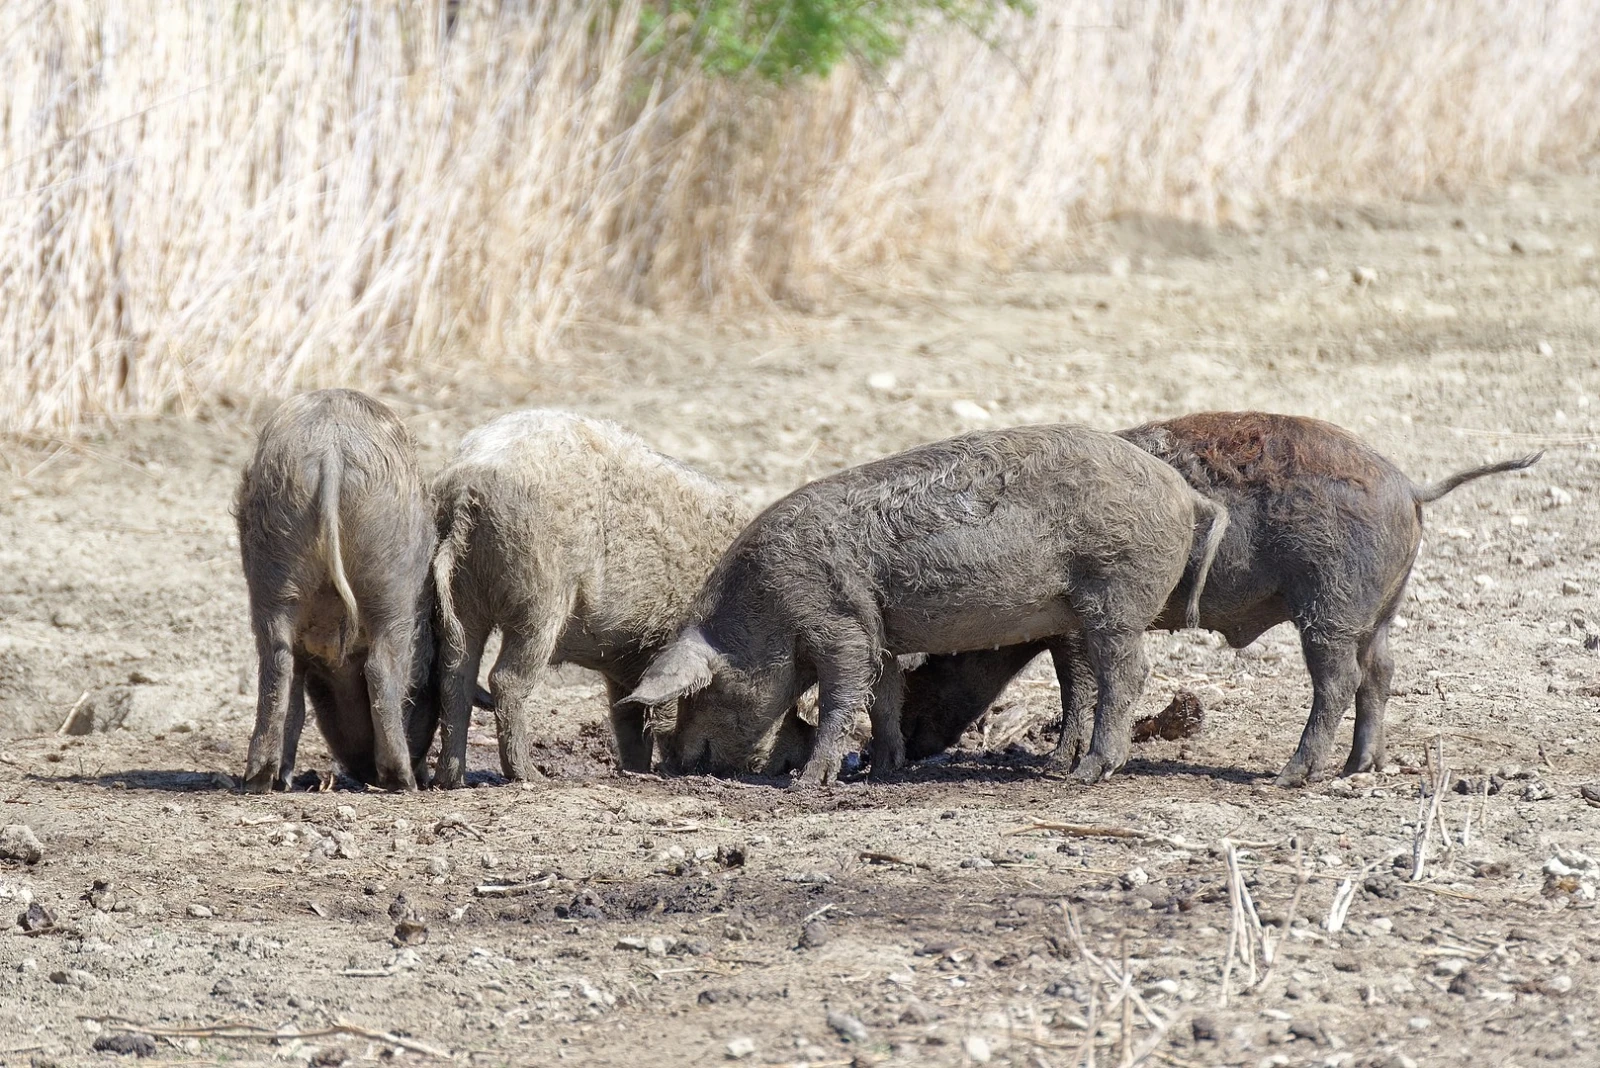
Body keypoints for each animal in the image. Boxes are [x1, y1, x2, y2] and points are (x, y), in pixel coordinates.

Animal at [235, 389, 438, 792]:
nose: (360, 770)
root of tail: (331, 451)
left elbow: (296, 703)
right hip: (390, 581)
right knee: (381, 667)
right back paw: (401, 781)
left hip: (272, 573)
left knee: (276, 668)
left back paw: (262, 780)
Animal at [429, 410, 812, 786]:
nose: (786, 767)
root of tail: (466, 486)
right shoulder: (663, 642)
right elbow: (660, 712)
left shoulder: (627, 660)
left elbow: (627, 716)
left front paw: (636, 771)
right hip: (541, 597)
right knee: (505, 680)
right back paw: (530, 776)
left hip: (465, 597)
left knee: (456, 675)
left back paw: (450, 780)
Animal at [624, 424, 1230, 787]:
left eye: (706, 691)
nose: (672, 761)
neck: (764, 606)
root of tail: (1184, 492)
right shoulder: (882, 631)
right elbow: (883, 699)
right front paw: (881, 771)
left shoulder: (839, 624)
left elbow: (841, 696)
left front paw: (810, 782)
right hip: (1085, 610)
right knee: (1086, 679)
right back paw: (1056, 768)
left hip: (1117, 594)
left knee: (1128, 672)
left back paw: (1089, 773)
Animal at [899, 412, 1541, 785]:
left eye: (930, 665)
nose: (903, 747)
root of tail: (1410, 486)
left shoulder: (1076, 626)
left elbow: (1077, 686)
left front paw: (1059, 768)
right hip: (1380, 610)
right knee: (1380, 672)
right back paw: (1358, 769)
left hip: (1330, 606)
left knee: (1338, 681)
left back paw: (1287, 777)